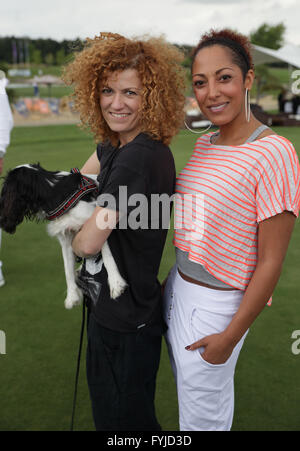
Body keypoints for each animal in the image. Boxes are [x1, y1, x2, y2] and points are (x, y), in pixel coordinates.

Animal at [0, 164, 126, 308]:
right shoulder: (66, 237)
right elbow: (67, 268)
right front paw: (72, 296)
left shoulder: (94, 220)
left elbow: (107, 255)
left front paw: (116, 284)